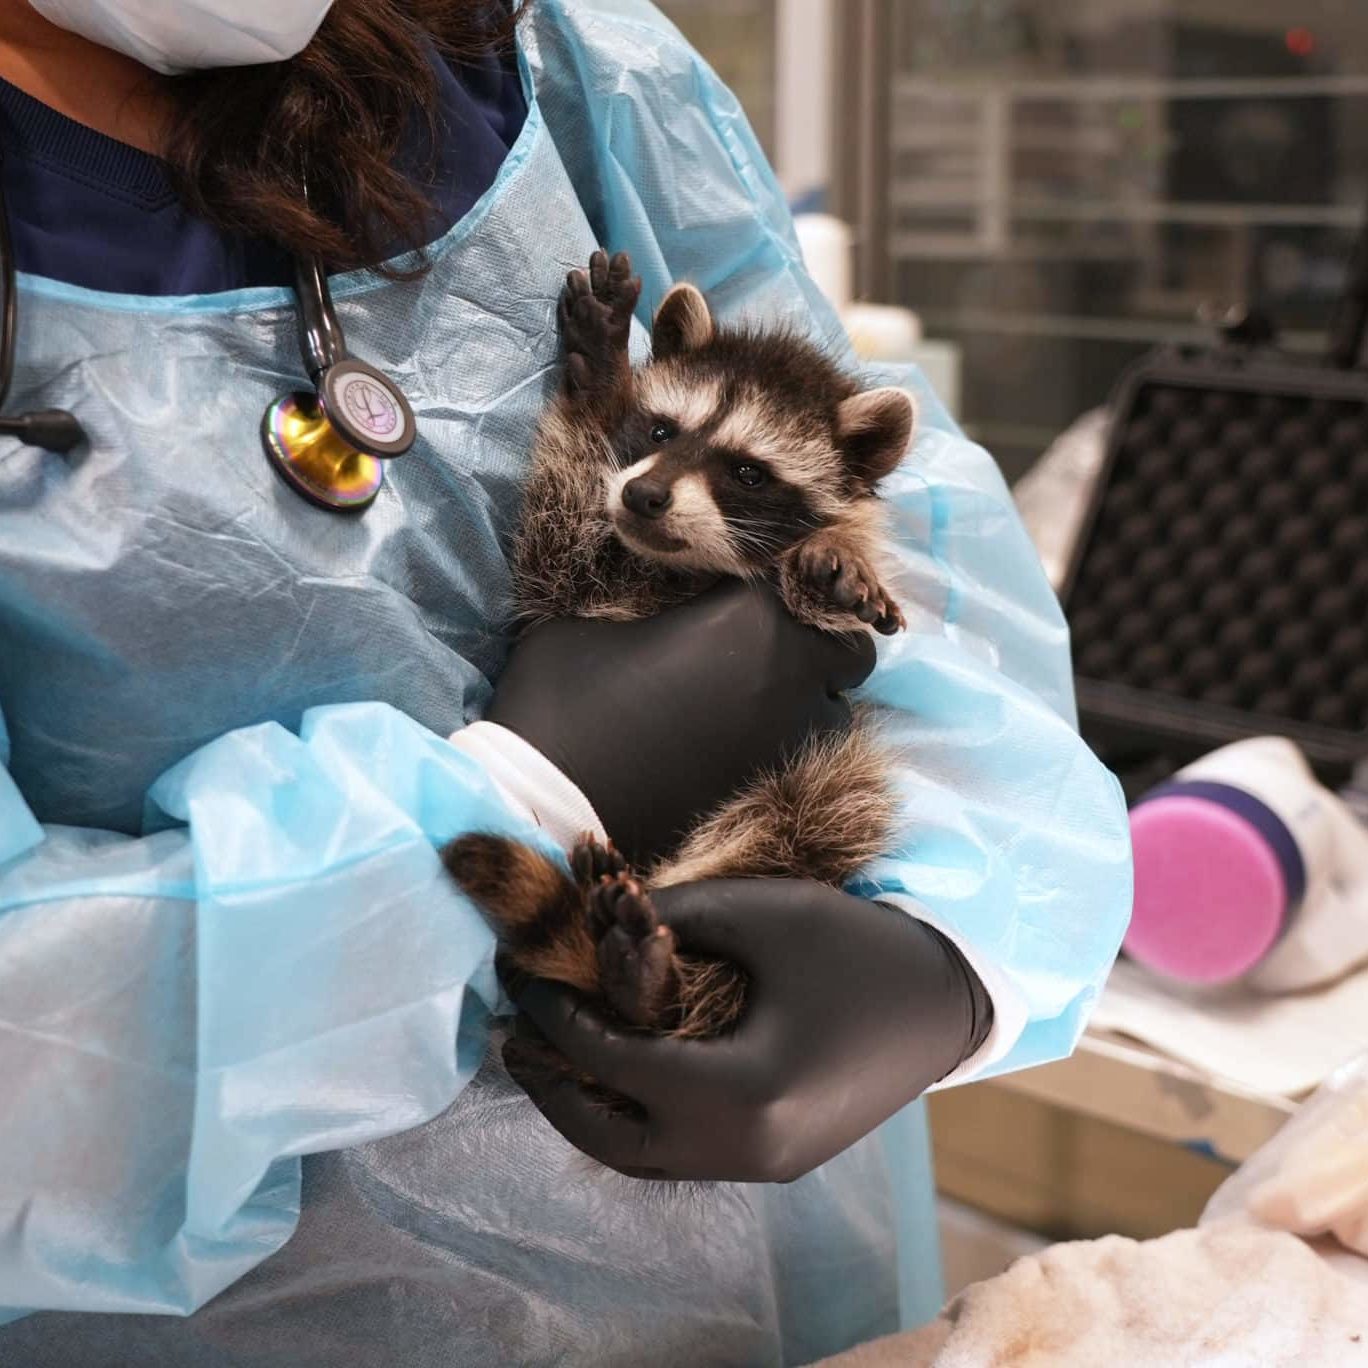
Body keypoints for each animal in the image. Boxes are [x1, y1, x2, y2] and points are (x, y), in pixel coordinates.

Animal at [443, 250, 913, 1040]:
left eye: (748, 472)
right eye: (662, 432)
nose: (643, 497)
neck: (680, 571)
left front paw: (831, 562)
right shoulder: (563, 583)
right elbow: (558, 527)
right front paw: (600, 390)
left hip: (807, 793)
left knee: (823, 813)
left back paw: (657, 963)